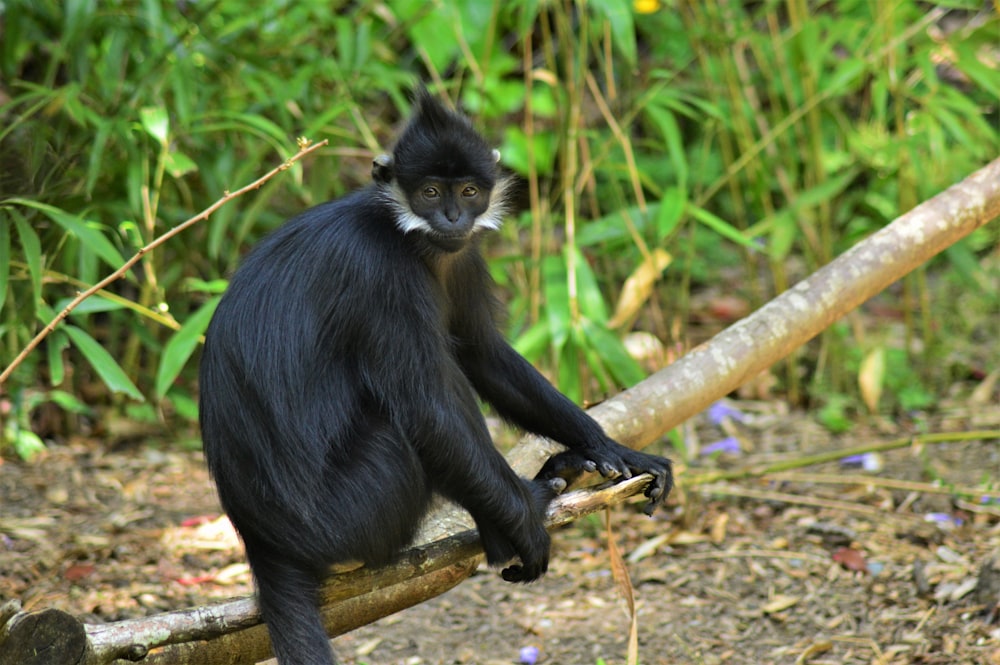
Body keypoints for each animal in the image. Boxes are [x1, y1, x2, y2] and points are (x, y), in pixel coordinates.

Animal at [197, 89, 672, 664]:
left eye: (468, 191)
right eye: (428, 192)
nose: (451, 215)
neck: (407, 236)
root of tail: (263, 540)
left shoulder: (461, 253)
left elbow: (483, 354)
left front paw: (612, 448)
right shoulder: (381, 275)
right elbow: (428, 411)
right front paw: (525, 522)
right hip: (354, 511)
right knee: (411, 419)